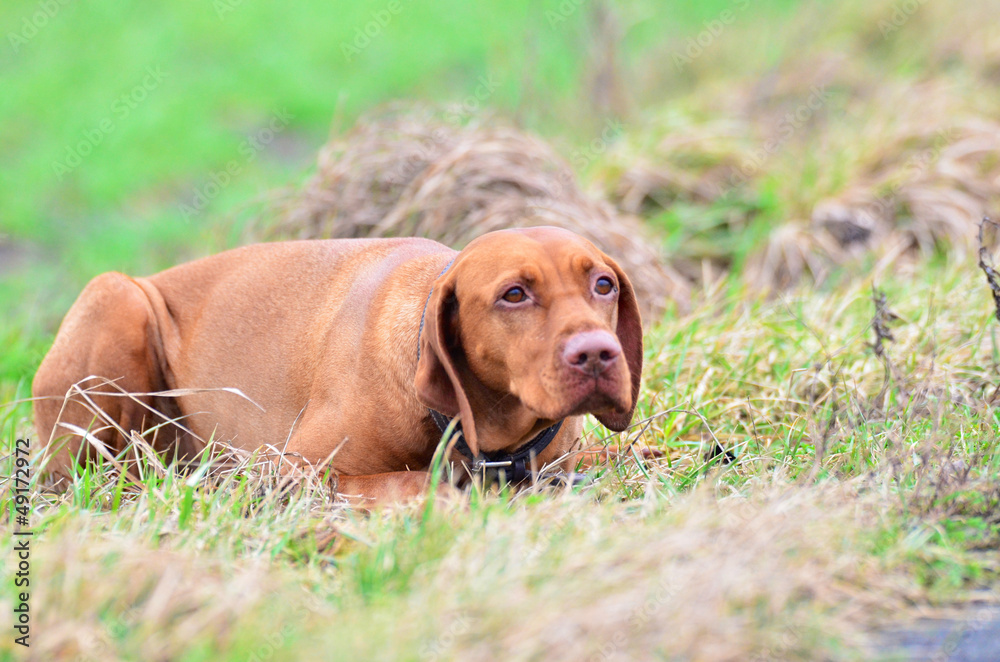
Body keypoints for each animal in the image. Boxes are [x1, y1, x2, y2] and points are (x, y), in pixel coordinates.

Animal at [35, 227, 644, 504]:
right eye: (514, 294)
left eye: (603, 284)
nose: (597, 354)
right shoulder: (292, 469)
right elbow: (422, 480)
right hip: (118, 297)